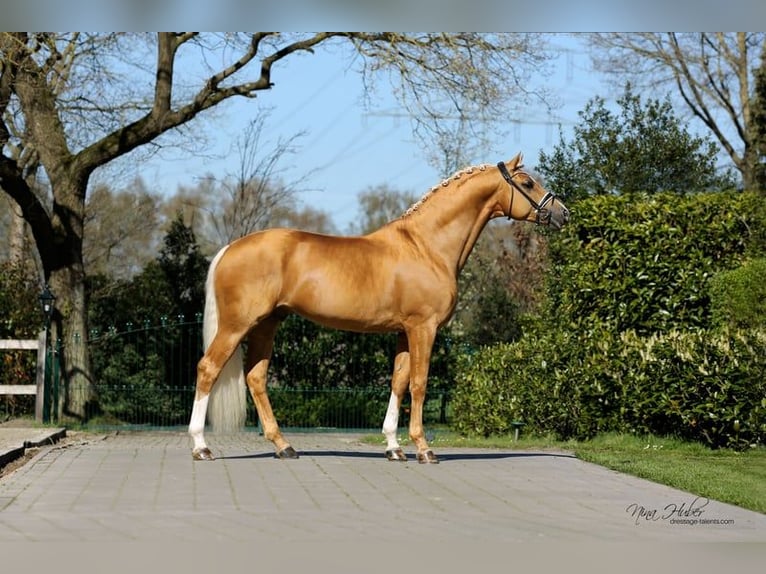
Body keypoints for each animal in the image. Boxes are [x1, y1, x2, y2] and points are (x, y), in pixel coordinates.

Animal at [188, 152, 569, 463]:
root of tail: (230, 248)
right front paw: (424, 449)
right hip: (237, 325)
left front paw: (394, 447)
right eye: (527, 183)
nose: (563, 213)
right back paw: (201, 446)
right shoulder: (423, 328)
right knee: (208, 369)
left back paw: (284, 446)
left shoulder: (404, 331)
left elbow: (398, 382)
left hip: (268, 323)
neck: (427, 247)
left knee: (256, 377)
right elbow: (419, 383)